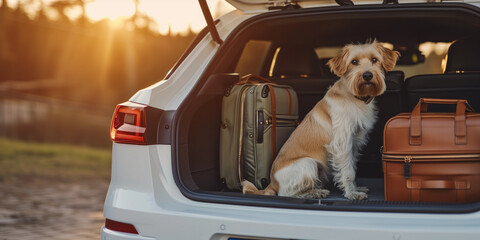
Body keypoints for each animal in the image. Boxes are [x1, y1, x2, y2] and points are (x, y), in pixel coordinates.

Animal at [242, 40, 400, 200]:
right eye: (354, 62)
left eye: (374, 59)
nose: (367, 75)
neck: (354, 96)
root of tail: (272, 183)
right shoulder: (342, 144)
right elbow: (348, 172)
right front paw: (352, 193)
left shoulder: (354, 144)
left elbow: (352, 167)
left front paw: (356, 188)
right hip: (308, 163)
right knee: (287, 193)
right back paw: (315, 192)